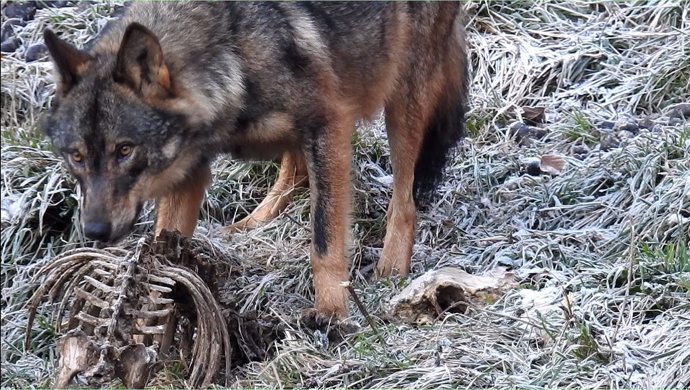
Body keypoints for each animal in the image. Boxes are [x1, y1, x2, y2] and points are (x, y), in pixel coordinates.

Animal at [41, 1, 468, 322]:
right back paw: (253, 222)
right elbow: (165, 249)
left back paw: (392, 268)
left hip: (403, 98)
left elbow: (324, 239)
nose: (94, 231)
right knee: (295, 172)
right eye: (76, 157)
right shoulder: (192, 171)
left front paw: (331, 313)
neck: (232, 59)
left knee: (405, 199)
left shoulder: (329, 124)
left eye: (125, 150)